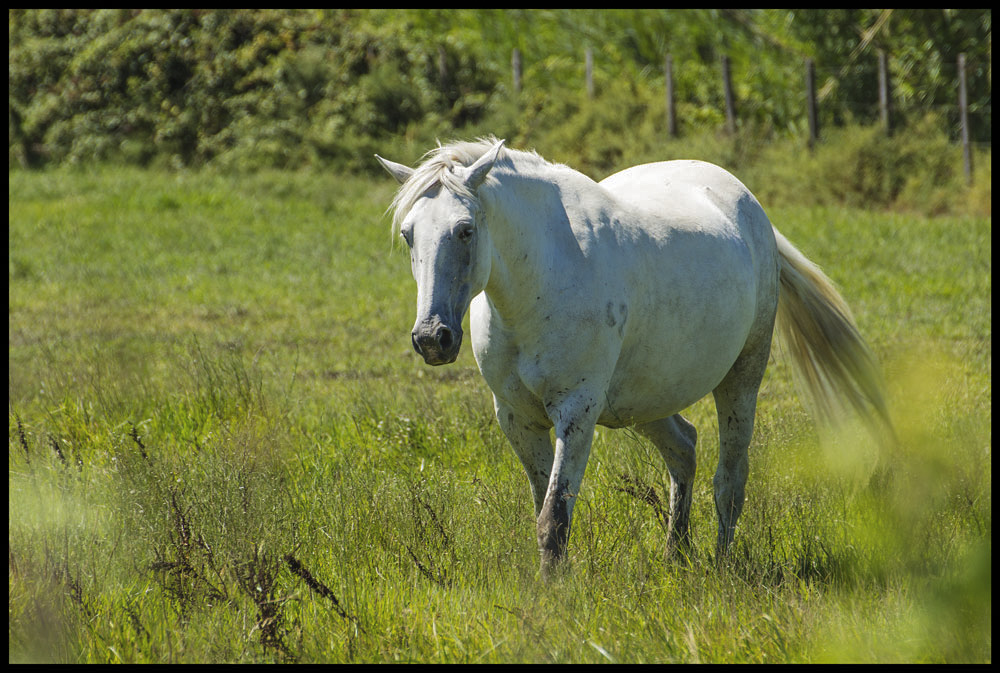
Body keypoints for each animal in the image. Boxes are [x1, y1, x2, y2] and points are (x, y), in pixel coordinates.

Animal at [376, 136, 892, 572]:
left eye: (465, 231)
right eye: (408, 234)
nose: (433, 338)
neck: (539, 282)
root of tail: (750, 206)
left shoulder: (576, 411)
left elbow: (554, 518)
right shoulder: (516, 418)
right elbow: (544, 510)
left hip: (742, 377)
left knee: (730, 480)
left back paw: (722, 567)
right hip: (644, 401)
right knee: (684, 448)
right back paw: (674, 557)